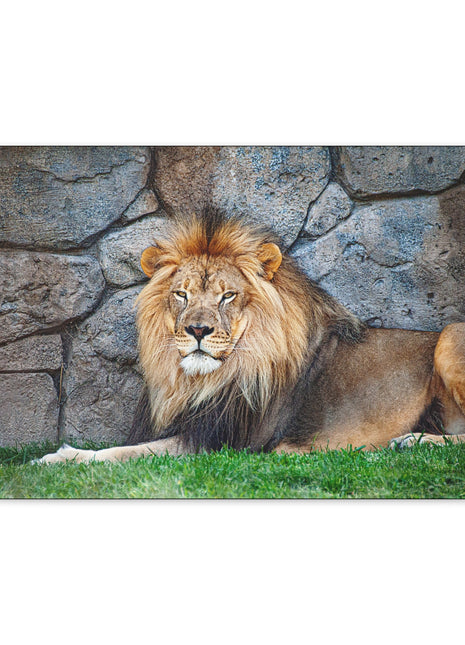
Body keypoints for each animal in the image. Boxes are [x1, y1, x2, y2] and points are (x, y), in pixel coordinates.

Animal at [35, 207, 465, 464]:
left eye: (227, 296)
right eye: (181, 294)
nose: (197, 330)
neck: (203, 381)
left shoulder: (218, 444)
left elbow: (125, 453)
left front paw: (58, 457)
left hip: (449, 335)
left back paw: (412, 441)